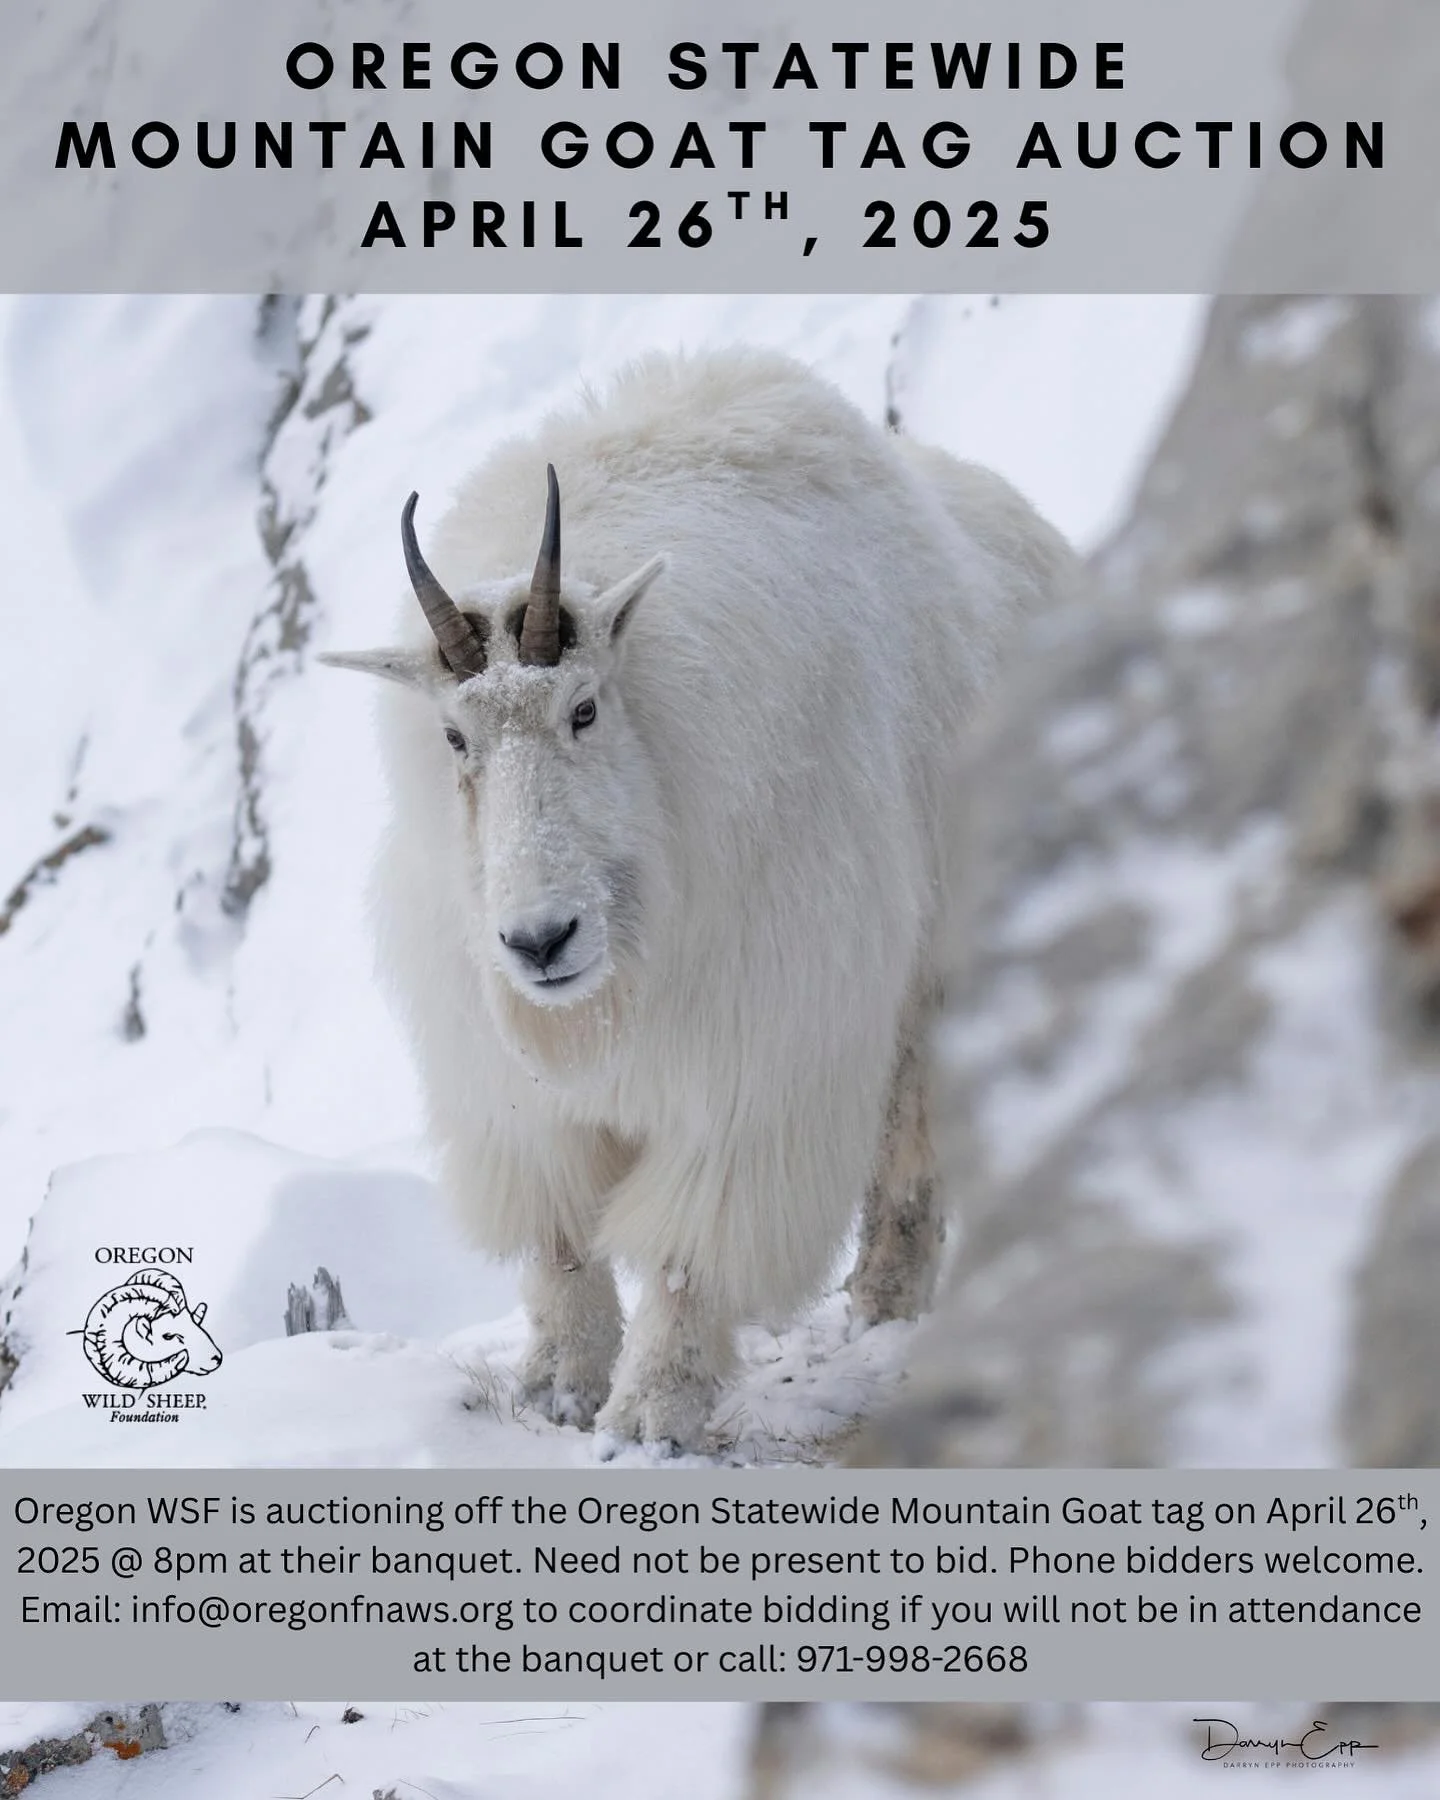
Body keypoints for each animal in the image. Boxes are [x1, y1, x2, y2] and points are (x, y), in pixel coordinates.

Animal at [322, 349, 1074, 1451]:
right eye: (456, 738)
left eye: (584, 708)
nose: (542, 941)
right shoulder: (505, 1076)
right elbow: (561, 1232)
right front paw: (559, 1387)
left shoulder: (760, 1043)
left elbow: (693, 1242)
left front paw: (648, 1414)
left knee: (914, 1137)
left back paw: (887, 1307)